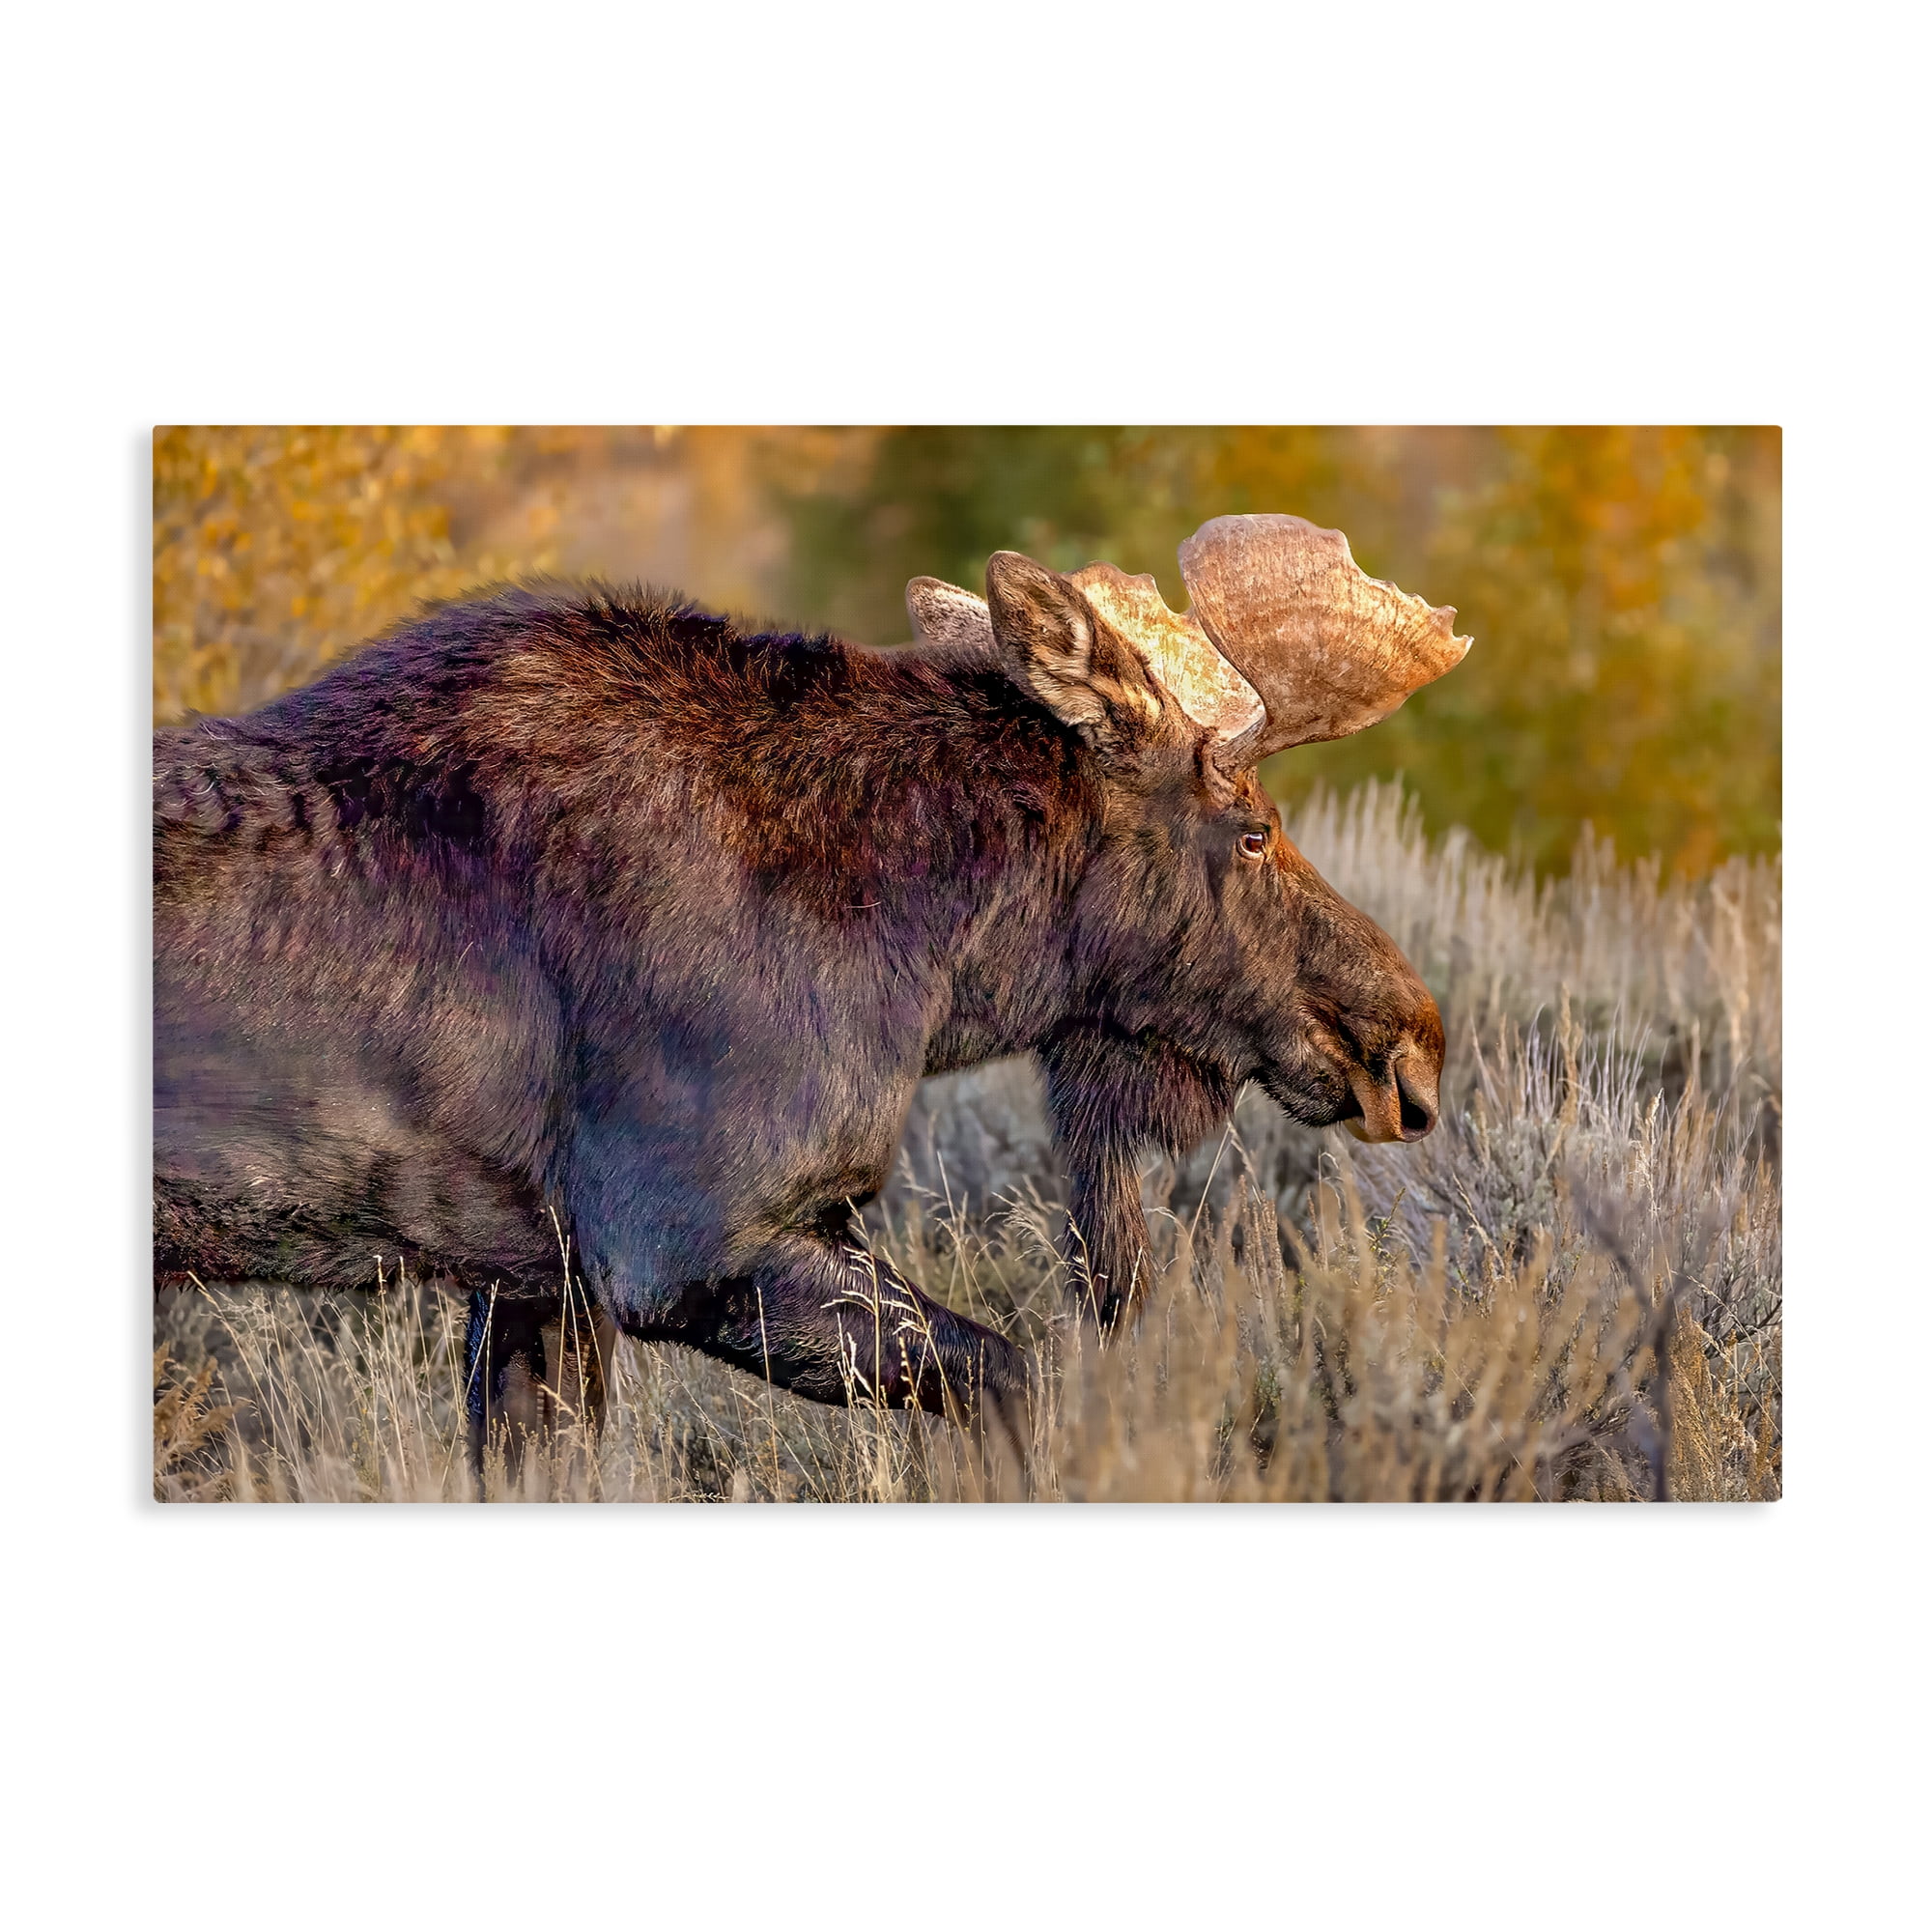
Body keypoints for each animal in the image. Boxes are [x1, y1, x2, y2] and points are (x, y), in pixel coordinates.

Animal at [153, 513, 1468, 1456]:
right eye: (1250, 829)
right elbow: (1019, 1379)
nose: (1407, 1039)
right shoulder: (688, 1241)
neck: (935, 962)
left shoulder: (535, 1278)